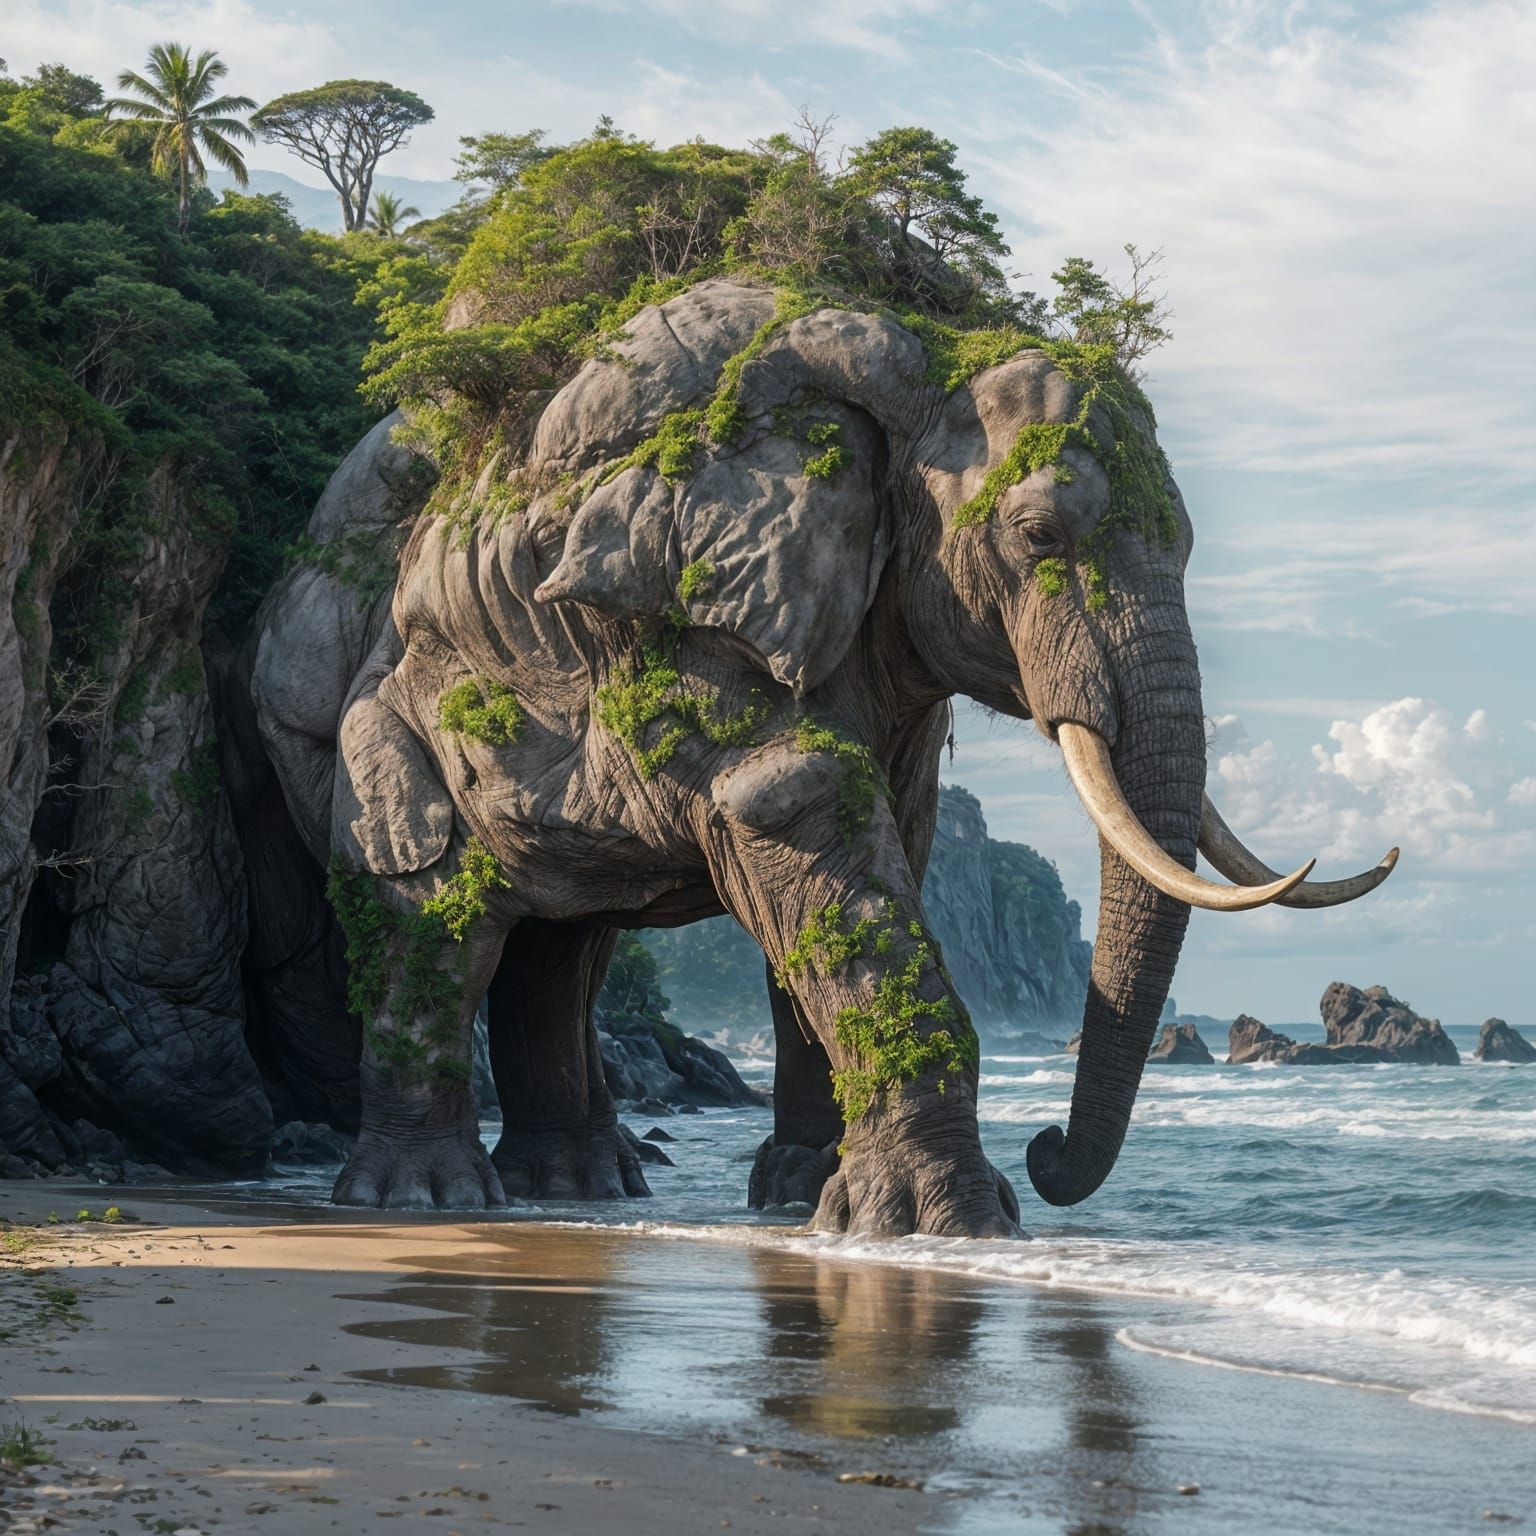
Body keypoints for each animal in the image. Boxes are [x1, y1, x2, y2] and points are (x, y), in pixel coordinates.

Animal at [250, 277, 1396, 1236]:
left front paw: (813, 1200)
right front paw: (944, 1225)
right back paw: (427, 1200)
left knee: (560, 953)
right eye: (1038, 537)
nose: (1046, 1151)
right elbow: (795, 805)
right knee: (431, 916)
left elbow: (869, 849)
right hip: (377, 727)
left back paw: (579, 1186)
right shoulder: (689, 621)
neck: (905, 365)